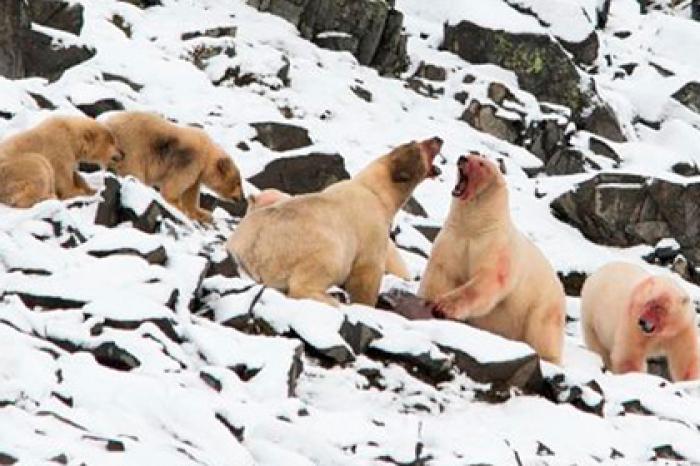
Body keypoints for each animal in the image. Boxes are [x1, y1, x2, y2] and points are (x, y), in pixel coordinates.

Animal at [418, 153, 568, 364]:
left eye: (481, 163)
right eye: (471, 153)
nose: (462, 158)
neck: (477, 226)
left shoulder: (495, 248)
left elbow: (487, 280)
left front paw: (444, 306)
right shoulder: (453, 239)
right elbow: (442, 270)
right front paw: (428, 299)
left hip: (544, 308)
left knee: (542, 334)